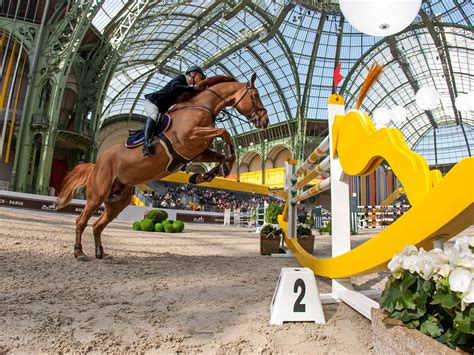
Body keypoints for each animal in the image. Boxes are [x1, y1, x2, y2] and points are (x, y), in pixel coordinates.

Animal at [57, 73, 268, 262]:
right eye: (256, 94)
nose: (265, 121)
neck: (202, 107)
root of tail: (96, 164)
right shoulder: (189, 138)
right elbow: (224, 132)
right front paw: (216, 167)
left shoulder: (197, 151)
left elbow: (221, 154)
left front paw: (205, 175)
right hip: (97, 195)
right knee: (81, 221)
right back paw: (80, 253)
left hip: (117, 200)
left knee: (97, 225)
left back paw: (101, 253)